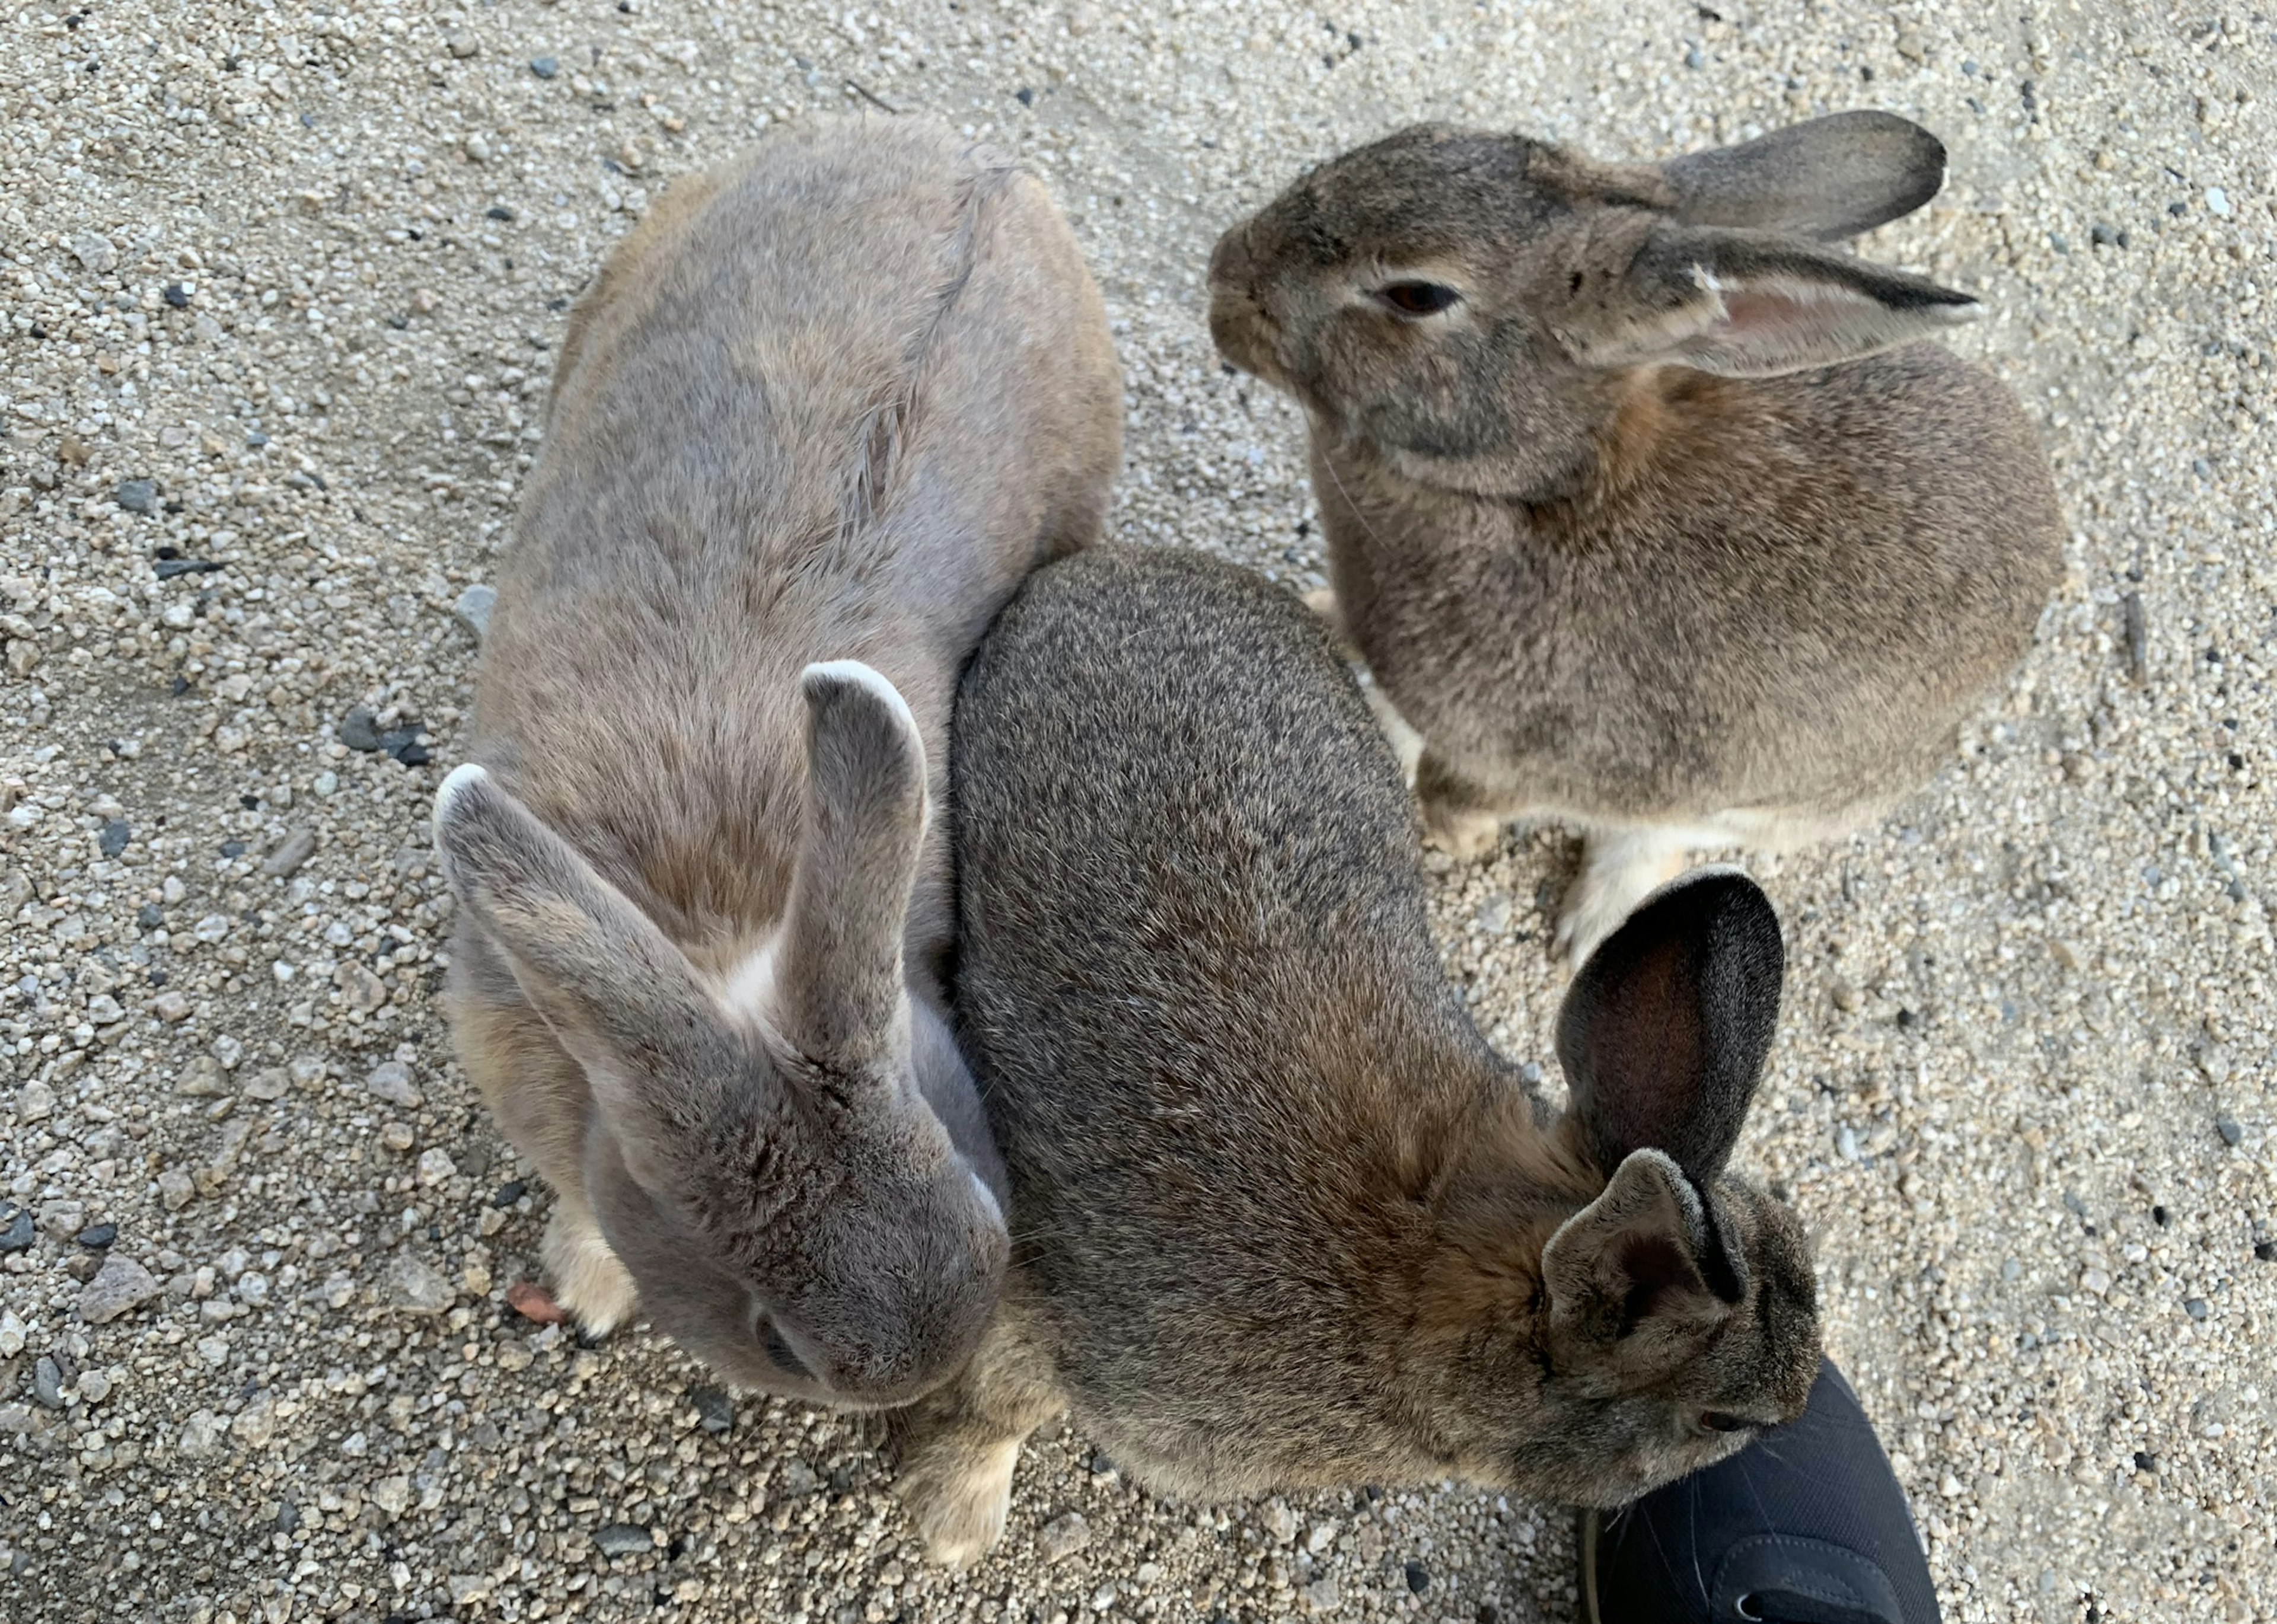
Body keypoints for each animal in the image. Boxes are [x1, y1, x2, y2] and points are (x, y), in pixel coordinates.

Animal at [428, 114, 1120, 1403]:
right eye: (781, 1338)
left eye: (974, 1178)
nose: (926, 1368)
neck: (713, 928)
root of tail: (985, 166)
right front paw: (593, 1289)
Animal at [897, 551, 1822, 1566]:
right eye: (1725, 1417)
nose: (1802, 1409)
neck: (1423, 1283)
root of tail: (1122, 567)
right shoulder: (1048, 1305)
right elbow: (998, 1403)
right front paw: (951, 1524)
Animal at [1211, 114, 2067, 970]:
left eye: (1417, 294)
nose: (1224, 280)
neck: (1533, 494)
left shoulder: (1546, 757)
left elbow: (1468, 790)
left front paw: (1461, 837)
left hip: (1777, 799)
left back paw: (1588, 928)